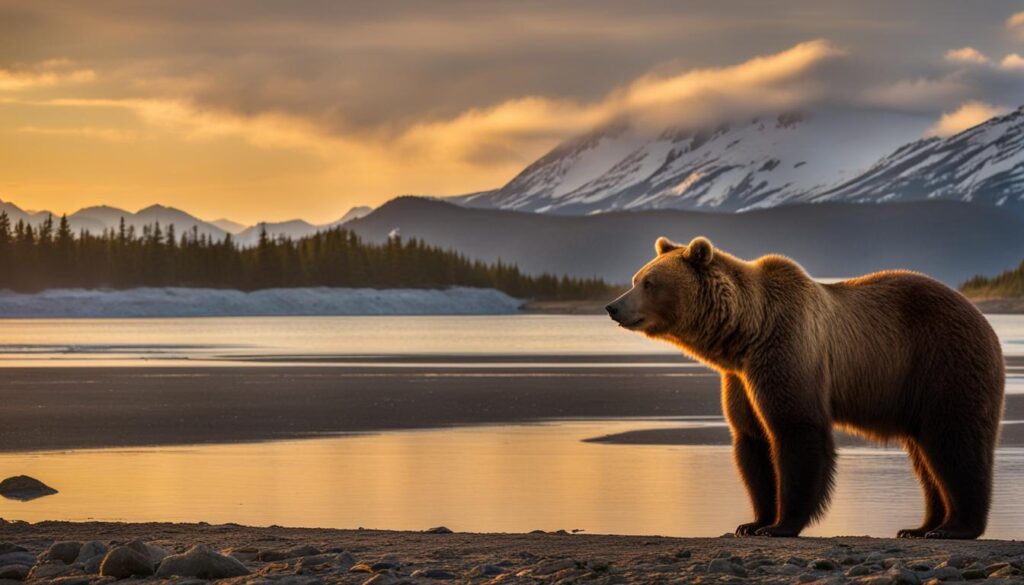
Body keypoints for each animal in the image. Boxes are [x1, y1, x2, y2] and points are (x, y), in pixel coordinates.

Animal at [602, 235, 1003, 536]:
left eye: (649, 283)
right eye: (636, 277)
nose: (612, 307)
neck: (745, 333)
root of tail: (983, 318)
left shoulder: (787, 350)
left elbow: (795, 430)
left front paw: (782, 524)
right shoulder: (740, 378)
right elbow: (752, 442)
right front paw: (753, 522)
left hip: (943, 363)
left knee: (954, 441)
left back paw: (956, 527)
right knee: (926, 458)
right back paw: (919, 527)